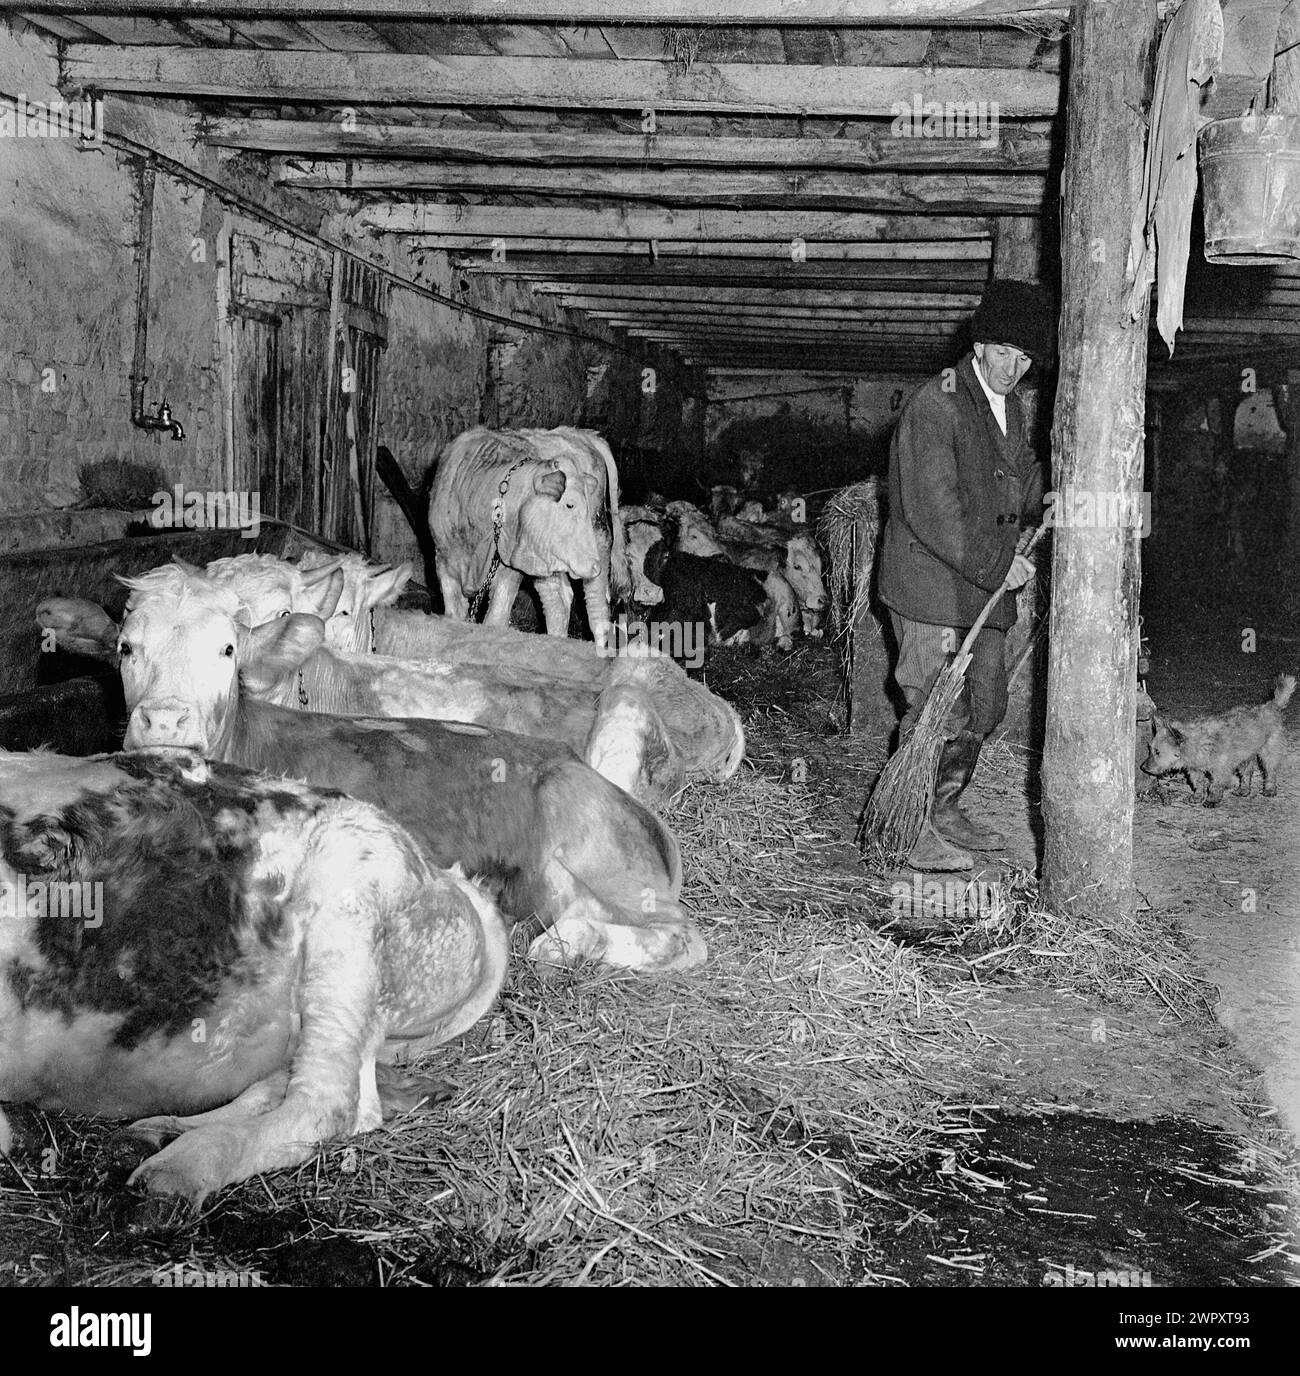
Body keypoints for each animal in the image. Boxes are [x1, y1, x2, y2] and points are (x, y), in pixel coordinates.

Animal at [0, 743, 506, 1205]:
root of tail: (443, 874)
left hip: (349, 914)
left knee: (332, 1103)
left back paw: (181, 1168)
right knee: (283, 1085)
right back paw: (156, 1133)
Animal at [38, 569, 698, 979]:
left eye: (227, 650)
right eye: (125, 648)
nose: (165, 721)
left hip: (600, 853)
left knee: (681, 937)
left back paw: (564, 942)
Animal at [1139, 671, 1293, 803]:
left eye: (1158, 752)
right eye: (1150, 750)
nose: (1143, 767)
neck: (1198, 744)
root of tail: (1271, 705)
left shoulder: (1220, 770)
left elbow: (1214, 786)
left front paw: (1212, 800)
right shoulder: (1195, 770)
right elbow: (1198, 784)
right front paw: (1197, 797)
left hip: (1269, 752)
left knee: (1270, 772)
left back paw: (1270, 789)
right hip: (1244, 757)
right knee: (1246, 774)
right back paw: (1243, 790)